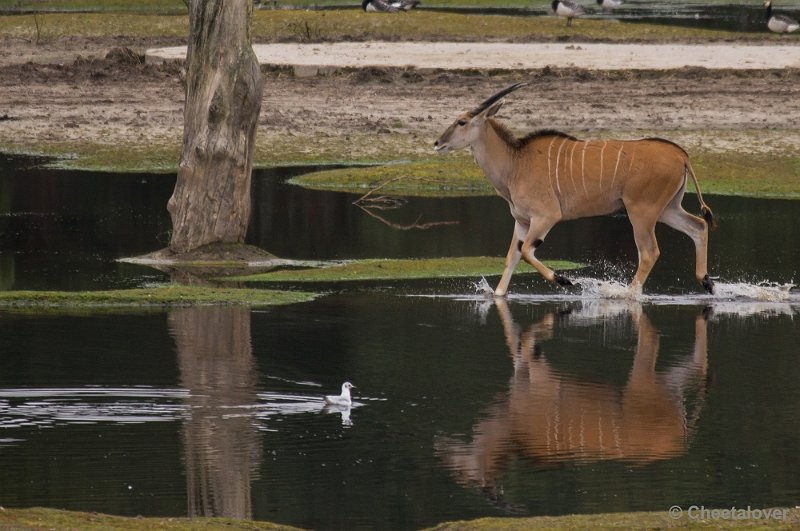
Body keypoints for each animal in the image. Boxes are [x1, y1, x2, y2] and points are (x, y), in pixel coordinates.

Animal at [434, 84, 716, 298]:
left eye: (461, 121)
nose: (437, 143)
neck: (516, 163)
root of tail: (681, 155)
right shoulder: (522, 221)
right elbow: (511, 257)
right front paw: (498, 294)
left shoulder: (546, 216)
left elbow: (526, 252)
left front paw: (563, 279)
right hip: (667, 209)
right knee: (698, 226)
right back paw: (707, 281)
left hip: (641, 212)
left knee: (649, 252)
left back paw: (627, 295)